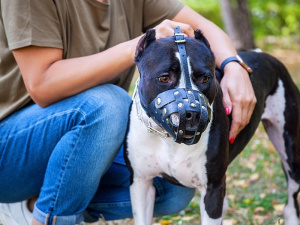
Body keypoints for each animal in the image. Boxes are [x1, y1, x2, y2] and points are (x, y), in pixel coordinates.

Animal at [123, 27, 298, 224]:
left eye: (205, 78)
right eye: (164, 78)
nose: (193, 113)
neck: (168, 139)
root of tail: (264, 54)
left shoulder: (212, 189)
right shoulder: (140, 183)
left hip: (290, 150)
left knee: (291, 199)